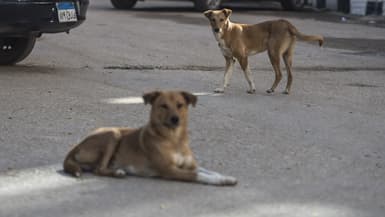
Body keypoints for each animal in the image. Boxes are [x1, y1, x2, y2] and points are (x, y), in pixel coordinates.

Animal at [62, 90, 236, 186]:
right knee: (99, 169)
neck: (174, 139)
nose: (175, 119)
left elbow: (208, 171)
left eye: (180, 105)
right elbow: (199, 175)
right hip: (113, 133)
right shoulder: (169, 170)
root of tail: (75, 146)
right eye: (163, 106)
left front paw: (226, 178)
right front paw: (220, 181)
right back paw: (118, 172)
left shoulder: (189, 165)